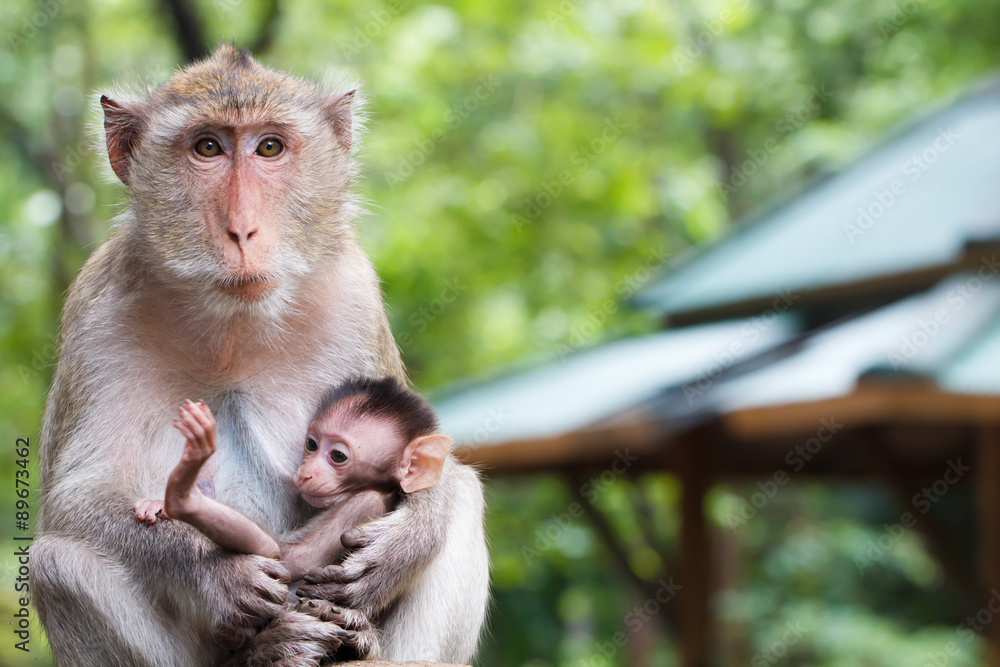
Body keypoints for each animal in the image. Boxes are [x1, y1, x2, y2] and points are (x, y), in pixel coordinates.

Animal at [35, 45, 489, 667]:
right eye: (207, 148)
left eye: (269, 147)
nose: (242, 230)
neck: (232, 325)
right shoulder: (97, 314)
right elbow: (75, 500)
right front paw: (213, 574)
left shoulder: (353, 294)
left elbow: (431, 460)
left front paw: (403, 542)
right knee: (57, 562)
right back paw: (270, 649)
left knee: (464, 497)